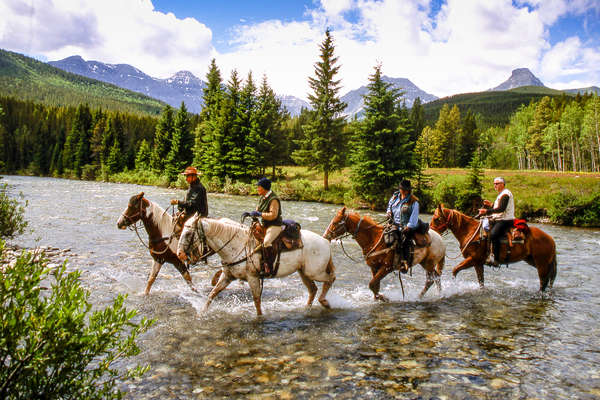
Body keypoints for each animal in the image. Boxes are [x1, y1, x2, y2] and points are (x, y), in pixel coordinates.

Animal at [178, 216, 338, 316]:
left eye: (188, 233)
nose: (180, 254)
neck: (238, 245)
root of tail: (325, 241)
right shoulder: (227, 277)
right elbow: (212, 294)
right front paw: (201, 314)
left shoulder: (253, 278)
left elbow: (257, 301)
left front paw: (260, 318)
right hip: (303, 272)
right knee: (313, 289)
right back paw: (307, 308)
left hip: (314, 272)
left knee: (331, 278)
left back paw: (325, 302)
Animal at [428, 205, 556, 290]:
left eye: (436, 218)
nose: (431, 232)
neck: (470, 231)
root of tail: (551, 239)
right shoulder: (478, 263)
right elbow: (481, 282)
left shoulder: (473, 259)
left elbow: (455, 270)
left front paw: (454, 284)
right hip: (533, 261)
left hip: (541, 264)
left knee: (543, 281)